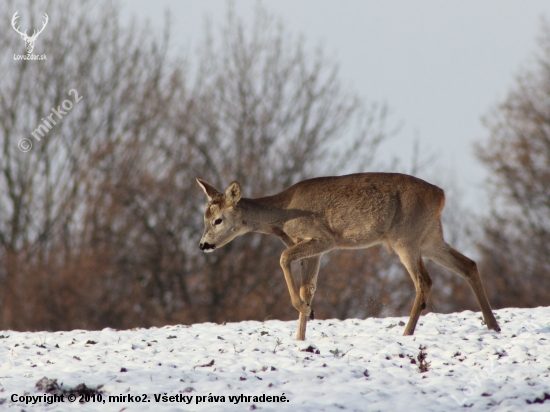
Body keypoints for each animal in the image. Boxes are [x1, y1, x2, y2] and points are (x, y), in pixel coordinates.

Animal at [198, 172, 504, 340]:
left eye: (218, 220)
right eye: (204, 217)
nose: (202, 244)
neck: (282, 217)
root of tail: (441, 195)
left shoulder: (324, 238)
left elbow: (283, 258)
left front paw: (304, 310)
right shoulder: (316, 249)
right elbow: (308, 288)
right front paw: (301, 335)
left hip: (405, 237)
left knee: (424, 281)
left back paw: (406, 333)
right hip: (429, 237)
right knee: (468, 264)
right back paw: (493, 325)